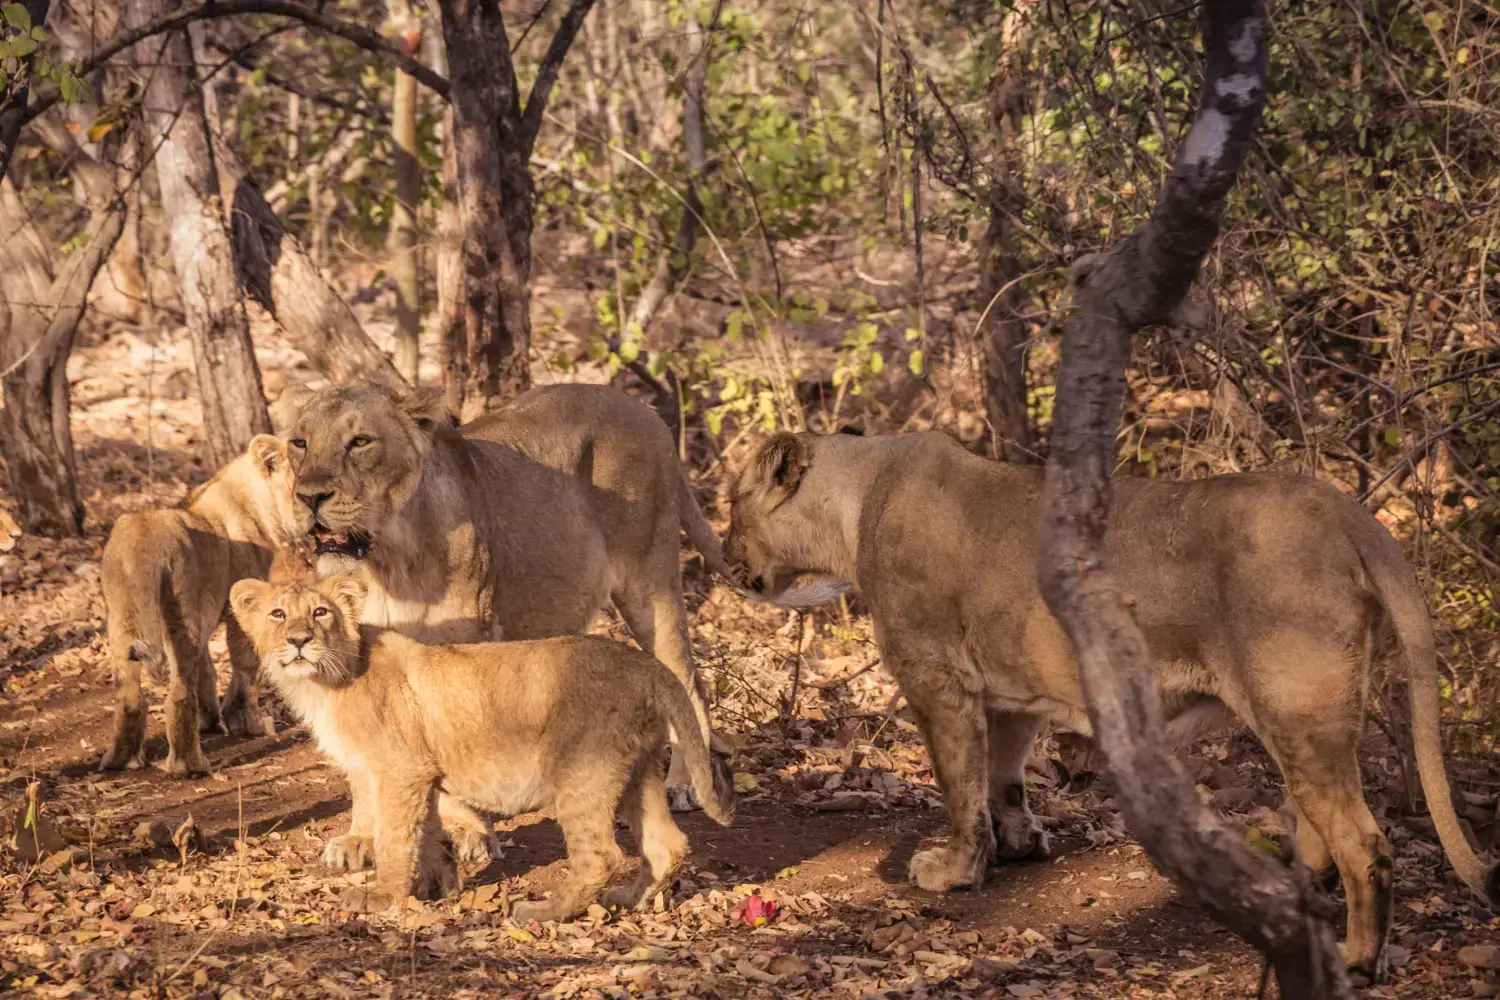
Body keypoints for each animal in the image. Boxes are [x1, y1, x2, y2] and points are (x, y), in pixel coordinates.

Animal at [100, 434, 301, 773]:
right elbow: (247, 666)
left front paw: (213, 720)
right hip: (182, 618)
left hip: (123, 618)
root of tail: (143, 541)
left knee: (130, 695)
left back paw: (121, 759)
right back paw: (189, 765)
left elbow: (208, 670)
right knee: (179, 693)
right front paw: (248, 723)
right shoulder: (242, 608)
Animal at [225, 575, 735, 917]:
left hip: (582, 771)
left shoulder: (398, 771)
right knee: (667, 845)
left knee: (601, 856)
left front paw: (383, 898)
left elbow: (394, 838)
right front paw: (436, 888)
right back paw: (630, 899)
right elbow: (428, 834)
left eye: (320, 613)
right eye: (277, 614)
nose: (299, 641)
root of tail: (646, 665)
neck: (323, 682)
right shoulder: (423, 774)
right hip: (637, 769)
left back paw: (544, 912)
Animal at [276, 383, 732, 875]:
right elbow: (361, 755)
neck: (385, 563)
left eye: (360, 441)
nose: (309, 497)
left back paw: (685, 784)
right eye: (299, 443)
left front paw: (468, 833)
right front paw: (361, 837)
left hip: (651, 584)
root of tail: (641, 408)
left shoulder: (461, 640)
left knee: (685, 678)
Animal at [720, 431, 1494, 983]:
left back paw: (1360, 960)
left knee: (1364, 841)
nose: (719, 558)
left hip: (1298, 709)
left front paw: (956, 869)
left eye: (731, 504)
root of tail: (1345, 511)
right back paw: (1298, 889)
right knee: (1321, 822)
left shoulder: (939, 681)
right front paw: (1020, 845)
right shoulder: (1011, 692)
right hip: (1308, 718)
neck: (854, 504)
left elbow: (960, 787)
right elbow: (1002, 777)